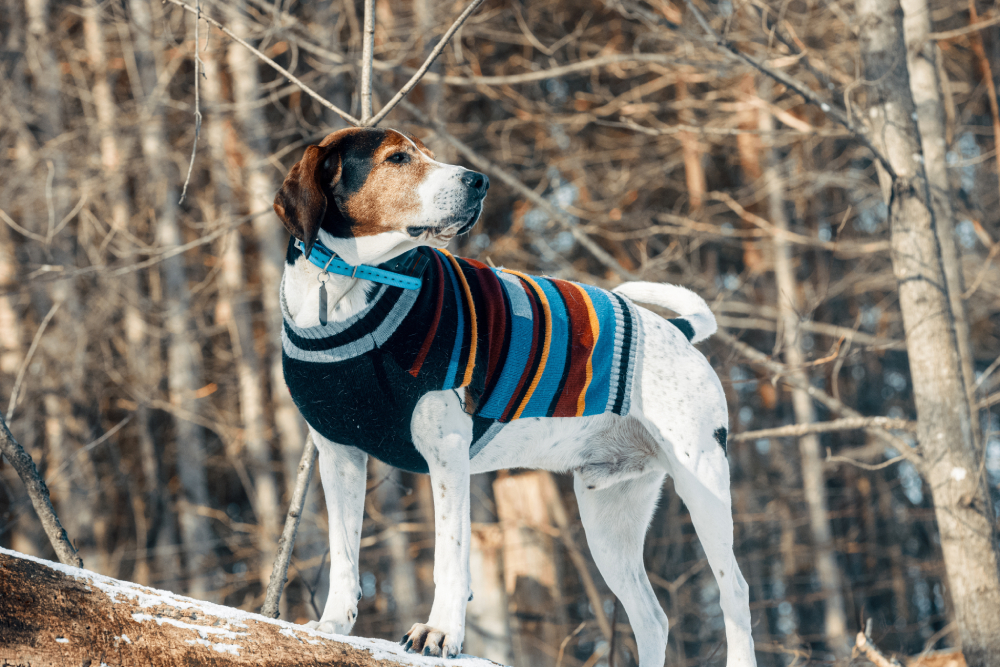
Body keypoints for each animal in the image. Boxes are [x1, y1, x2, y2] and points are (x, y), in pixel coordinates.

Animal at [270, 126, 752, 667]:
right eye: (396, 158)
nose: (478, 181)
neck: (353, 285)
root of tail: (678, 332)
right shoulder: (340, 455)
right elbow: (344, 555)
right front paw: (333, 625)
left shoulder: (447, 455)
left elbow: (450, 556)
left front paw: (440, 632)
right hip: (609, 517)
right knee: (653, 618)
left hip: (703, 483)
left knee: (735, 594)